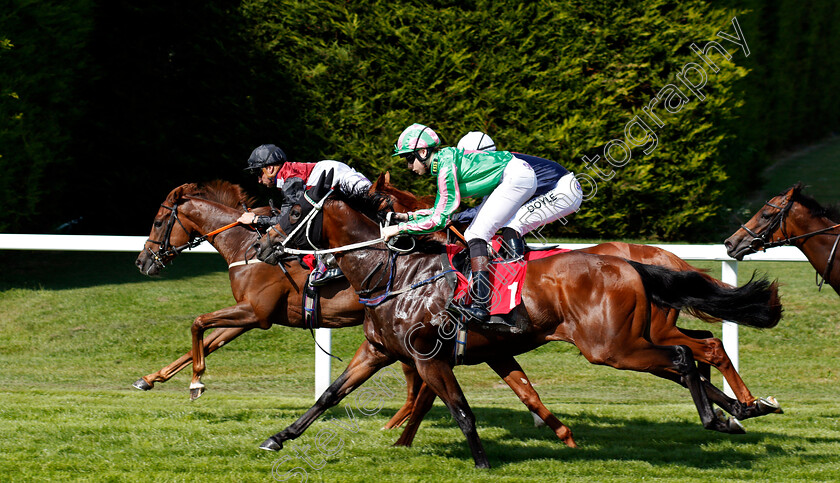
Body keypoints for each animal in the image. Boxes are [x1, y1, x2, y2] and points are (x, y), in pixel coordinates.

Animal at [254, 178, 780, 468]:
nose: (262, 246)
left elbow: (459, 410)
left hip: (612, 346)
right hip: (633, 338)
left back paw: (726, 415)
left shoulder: (429, 359)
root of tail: (633, 264)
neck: (395, 273)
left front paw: (482, 462)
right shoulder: (379, 351)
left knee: (687, 355)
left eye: (293, 210)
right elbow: (328, 396)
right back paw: (740, 412)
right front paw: (277, 438)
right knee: (696, 351)